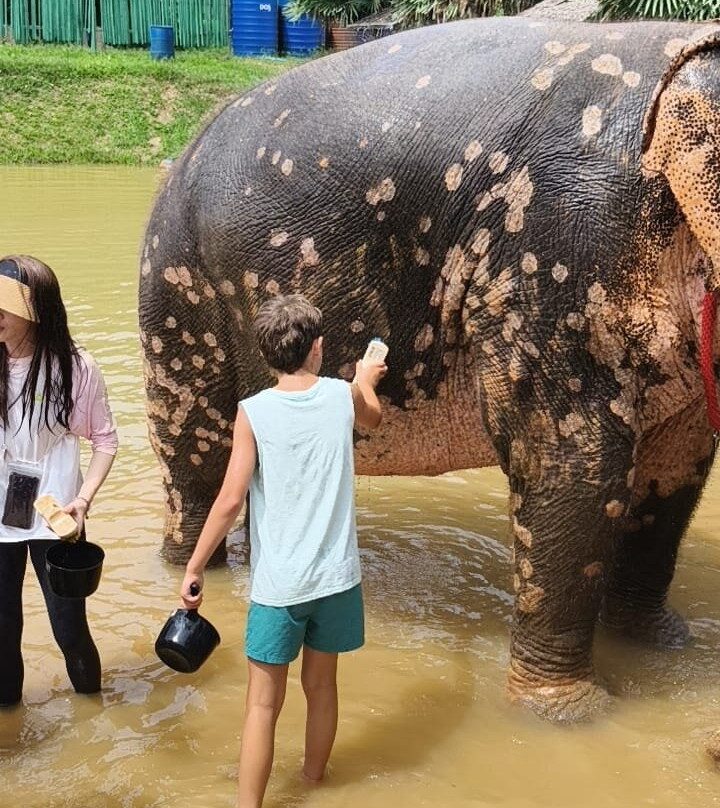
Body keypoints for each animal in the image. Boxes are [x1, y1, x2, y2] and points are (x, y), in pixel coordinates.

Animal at [139, 16, 720, 723]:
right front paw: (569, 715)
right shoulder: (557, 249)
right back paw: (193, 578)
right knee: (196, 456)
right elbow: (572, 460)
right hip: (175, 282)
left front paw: (661, 647)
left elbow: (677, 465)